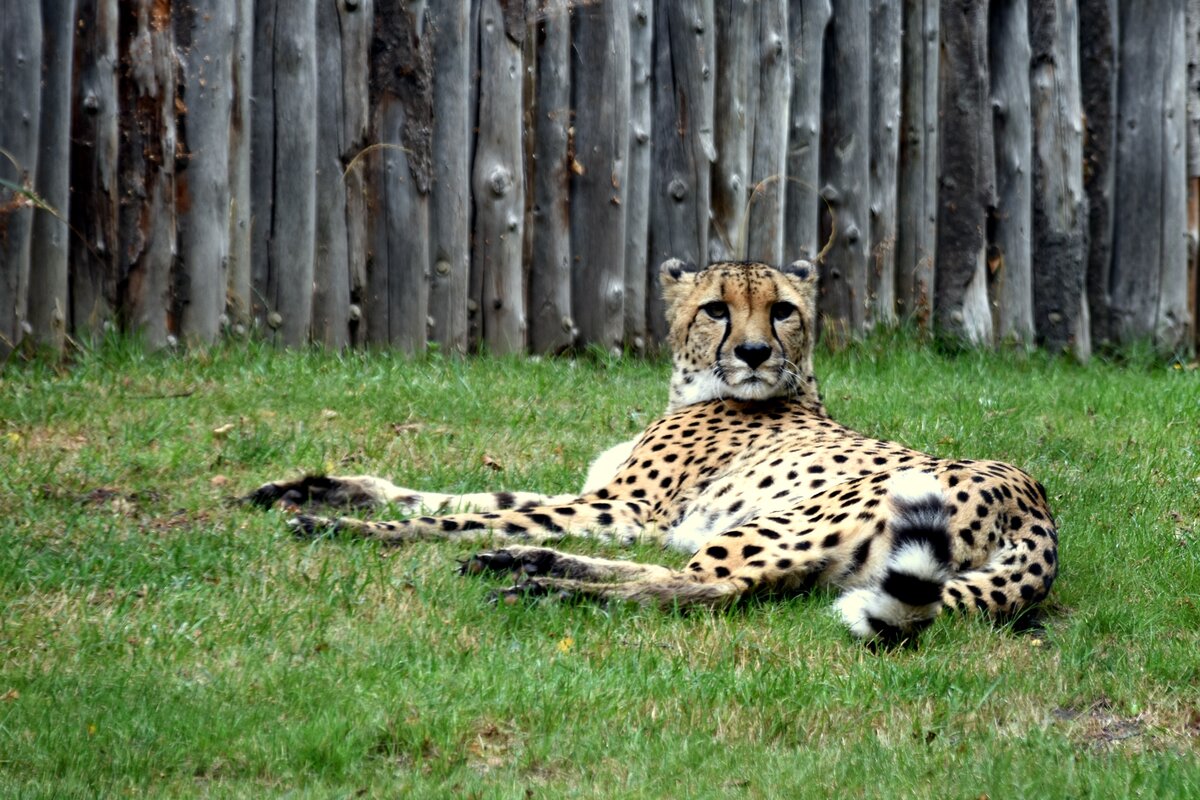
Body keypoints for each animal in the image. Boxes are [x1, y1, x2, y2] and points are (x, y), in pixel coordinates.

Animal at [246, 262, 1060, 642]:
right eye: (716, 310)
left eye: (783, 311)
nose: (756, 353)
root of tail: (1033, 501)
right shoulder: (606, 501)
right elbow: (469, 498)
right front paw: (316, 489)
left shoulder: (624, 507)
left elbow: (454, 516)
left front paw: (343, 527)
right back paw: (530, 566)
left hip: (781, 524)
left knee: (701, 589)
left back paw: (550, 586)